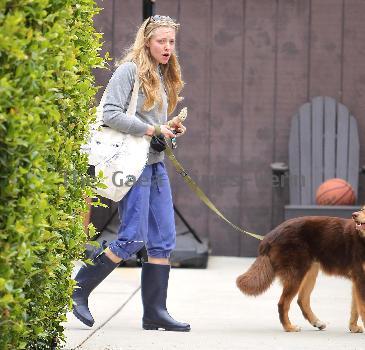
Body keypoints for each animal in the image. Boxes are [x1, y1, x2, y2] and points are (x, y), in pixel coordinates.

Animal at [236, 206, 364, 332]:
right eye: (362, 209)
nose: (354, 215)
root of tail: (269, 236)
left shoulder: (357, 280)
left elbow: (355, 308)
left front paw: (353, 327)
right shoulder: (360, 279)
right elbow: (362, 307)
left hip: (310, 272)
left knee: (302, 300)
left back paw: (316, 322)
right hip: (296, 274)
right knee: (283, 303)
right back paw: (289, 327)